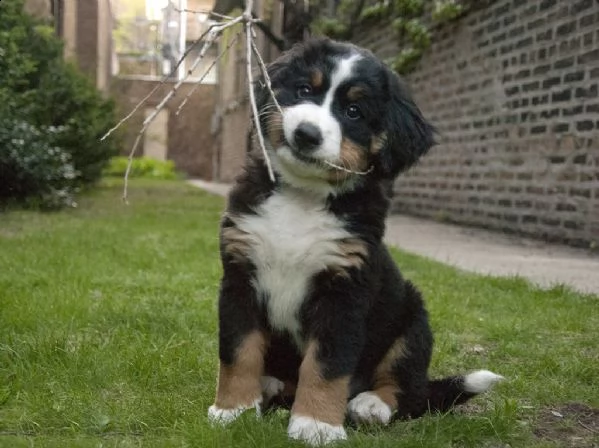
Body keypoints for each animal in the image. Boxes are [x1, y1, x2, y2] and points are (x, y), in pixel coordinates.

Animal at [209, 37, 504, 444]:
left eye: (353, 112)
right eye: (304, 90)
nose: (306, 134)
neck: (303, 198)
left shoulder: (344, 292)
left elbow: (327, 365)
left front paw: (316, 425)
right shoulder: (240, 277)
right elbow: (238, 351)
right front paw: (233, 409)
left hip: (412, 319)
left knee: (407, 389)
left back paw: (370, 404)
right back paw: (269, 386)